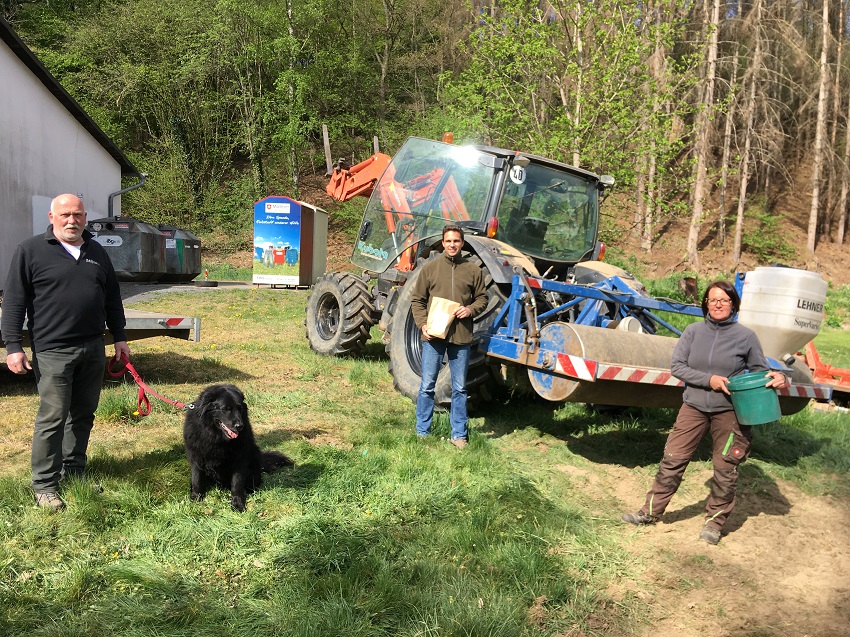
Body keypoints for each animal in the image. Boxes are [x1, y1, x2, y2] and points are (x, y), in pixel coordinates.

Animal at [182, 382, 292, 512]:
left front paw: (238, 503)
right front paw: (196, 499)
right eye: (226, 409)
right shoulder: (196, 457)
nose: (240, 426)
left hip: (254, 455)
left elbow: (236, 483)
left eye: (239, 408)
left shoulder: (239, 459)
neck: (216, 437)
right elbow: (197, 479)